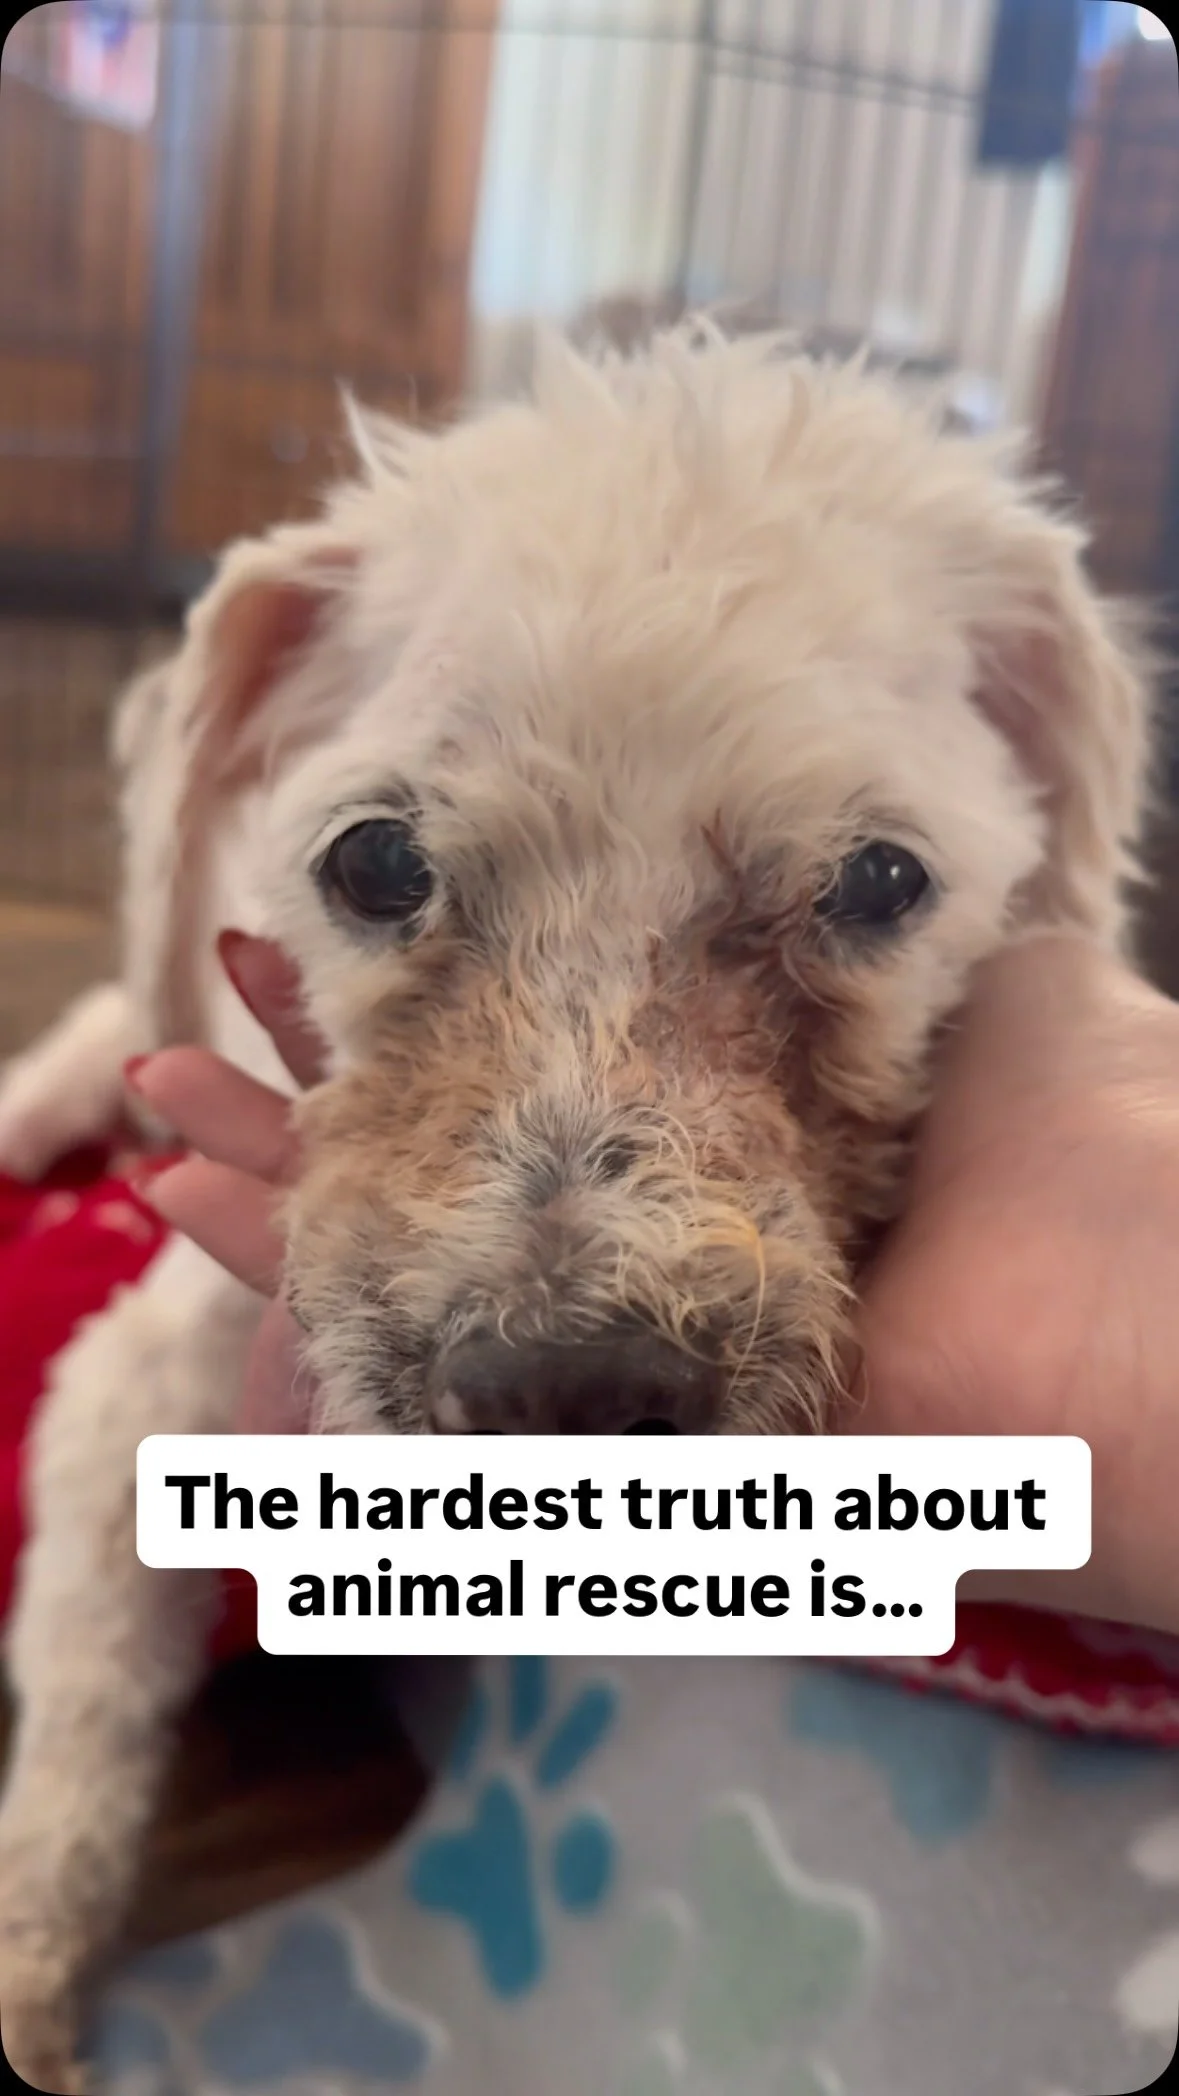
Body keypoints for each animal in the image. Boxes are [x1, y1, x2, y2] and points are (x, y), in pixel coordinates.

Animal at [0, 324, 1151, 2089]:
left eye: (879, 882)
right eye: (374, 862)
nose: (566, 1389)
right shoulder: (138, 1380)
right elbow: (76, 1718)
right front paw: (27, 1974)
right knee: (112, 1013)